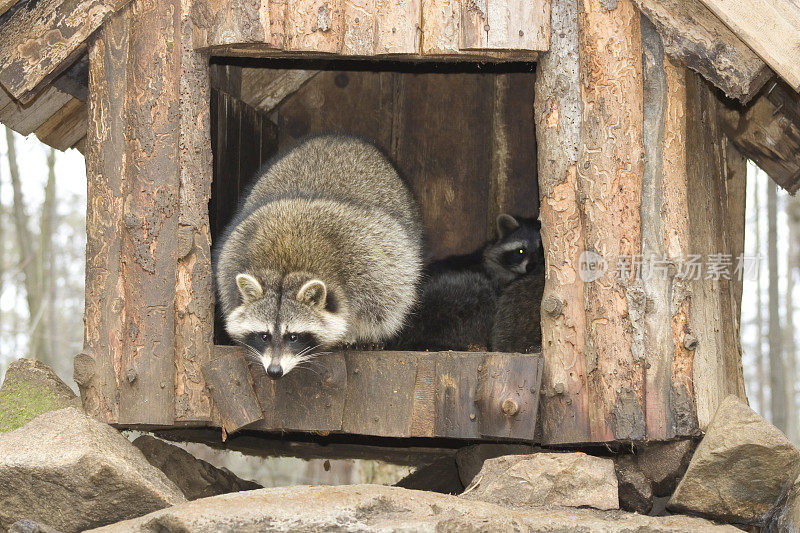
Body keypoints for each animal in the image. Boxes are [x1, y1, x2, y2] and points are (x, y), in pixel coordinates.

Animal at [212, 136, 424, 378]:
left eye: (293, 336)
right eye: (264, 336)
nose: (274, 371)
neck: (286, 267)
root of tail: (340, 139)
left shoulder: (371, 263)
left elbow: (386, 305)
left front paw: (357, 333)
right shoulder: (232, 256)